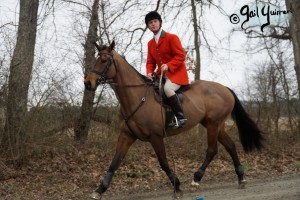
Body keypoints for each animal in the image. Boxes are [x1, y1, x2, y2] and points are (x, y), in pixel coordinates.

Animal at [84, 40, 262, 198]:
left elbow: (163, 162)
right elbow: (115, 162)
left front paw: (177, 186)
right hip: (215, 125)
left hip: (213, 125)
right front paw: (99, 190)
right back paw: (241, 178)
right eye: (94, 60)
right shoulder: (126, 136)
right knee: (230, 146)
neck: (136, 98)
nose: (88, 83)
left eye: (104, 61)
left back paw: (196, 180)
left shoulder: (156, 137)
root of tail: (225, 88)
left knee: (212, 150)